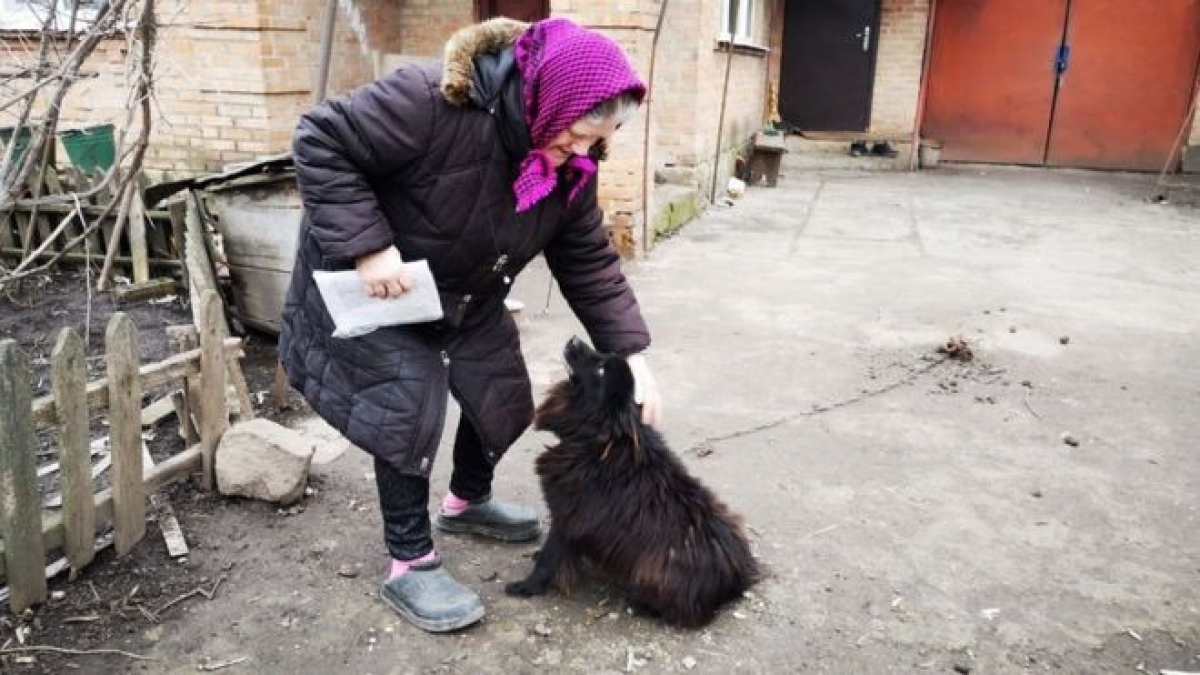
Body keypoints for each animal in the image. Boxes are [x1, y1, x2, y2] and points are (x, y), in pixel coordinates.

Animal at [506, 336, 758, 624]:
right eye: (601, 356)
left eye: (601, 369)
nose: (574, 339)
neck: (600, 441)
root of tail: (735, 580)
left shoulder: (566, 518)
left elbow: (549, 559)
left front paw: (527, 586)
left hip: (649, 574)